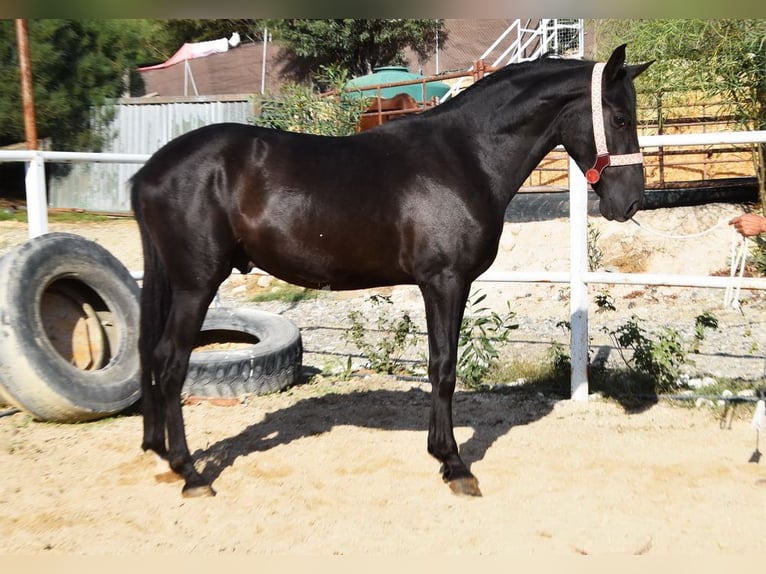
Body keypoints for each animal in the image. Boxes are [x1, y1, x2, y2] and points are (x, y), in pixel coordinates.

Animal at [129, 45, 652, 498]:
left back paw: (161, 452)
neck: (464, 156)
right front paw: (454, 464)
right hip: (196, 285)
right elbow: (444, 368)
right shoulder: (444, 282)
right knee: (171, 364)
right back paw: (191, 472)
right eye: (620, 118)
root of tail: (150, 172)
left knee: (152, 356)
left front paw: (442, 454)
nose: (630, 202)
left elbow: (441, 365)